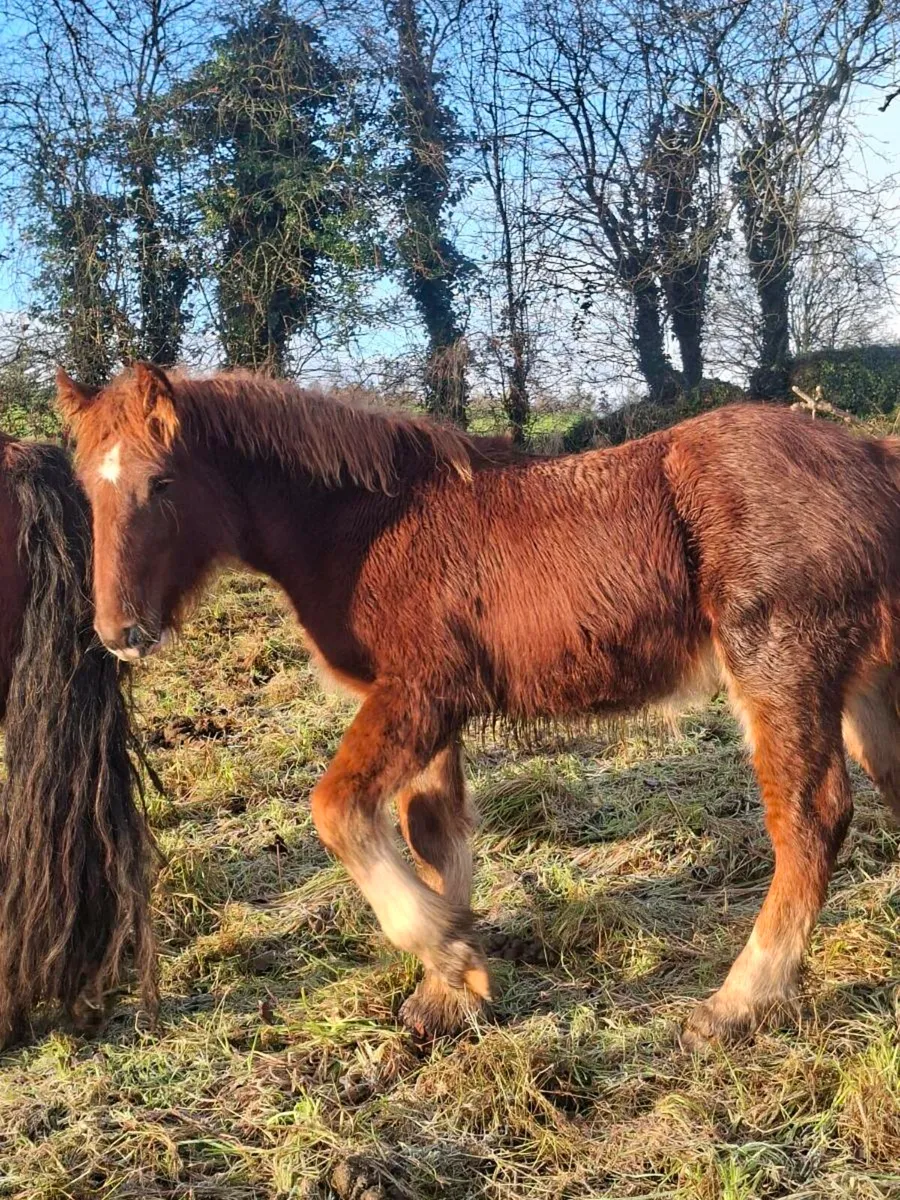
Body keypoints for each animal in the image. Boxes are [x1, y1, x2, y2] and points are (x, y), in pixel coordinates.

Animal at [56, 361, 900, 1046]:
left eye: (164, 482)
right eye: (87, 491)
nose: (119, 633)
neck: (367, 526)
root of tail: (870, 457)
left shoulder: (421, 691)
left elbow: (337, 809)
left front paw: (449, 950)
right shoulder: (430, 713)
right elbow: (432, 832)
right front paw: (450, 992)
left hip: (780, 666)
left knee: (810, 819)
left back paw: (737, 1004)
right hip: (861, 683)